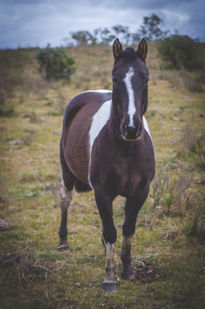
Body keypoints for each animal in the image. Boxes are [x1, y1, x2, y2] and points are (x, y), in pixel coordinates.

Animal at [58, 38, 155, 292]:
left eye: (146, 78)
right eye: (115, 78)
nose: (131, 128)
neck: (126, 150)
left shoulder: (140, 192)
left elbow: (127, 228)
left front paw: (128, 269)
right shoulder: (102, 192)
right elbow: (111, 232)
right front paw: (110, 278)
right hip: (66, 173)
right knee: (65, 201)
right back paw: (63, 242)